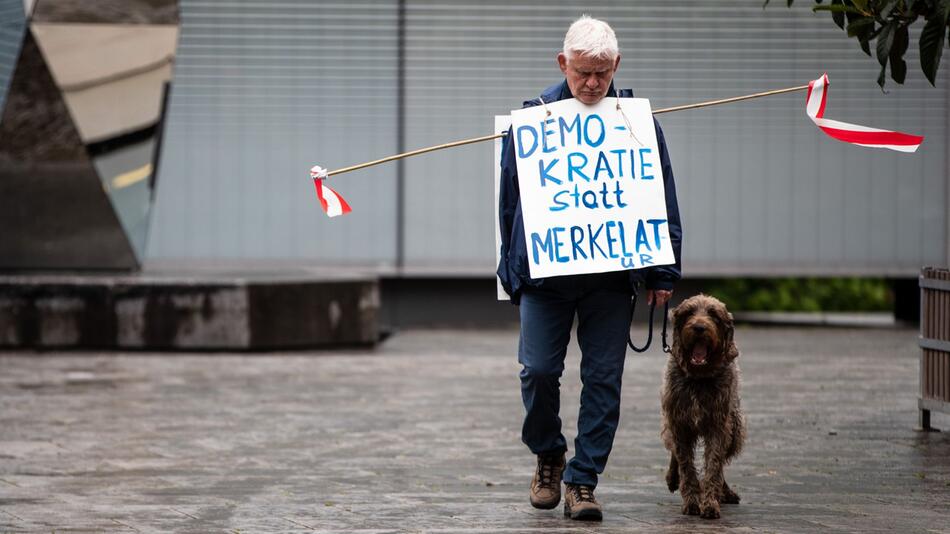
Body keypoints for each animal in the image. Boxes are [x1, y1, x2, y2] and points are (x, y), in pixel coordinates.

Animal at [660, 296, 744, 520]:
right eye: (689, 312)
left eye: (714, 315)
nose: (699, 327)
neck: (699, 378)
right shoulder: (679, 424)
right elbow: (686, 465)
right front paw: (691, 501)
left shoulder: (718, 426)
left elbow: (714, 464)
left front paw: (710, 502)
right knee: (675, 452)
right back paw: (673, 477)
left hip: (736, 428)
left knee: (722, 462)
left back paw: (725, 492)